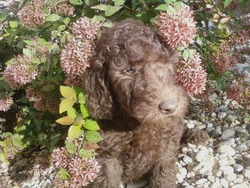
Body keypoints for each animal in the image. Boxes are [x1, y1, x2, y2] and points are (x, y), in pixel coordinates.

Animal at [83, 18, 208, 187]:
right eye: (130, 69)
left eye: (164, 63)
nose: (170, 107)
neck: (138, 123)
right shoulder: (108, 155)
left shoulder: (167, 145)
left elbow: (163, 175)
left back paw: (197, 134)